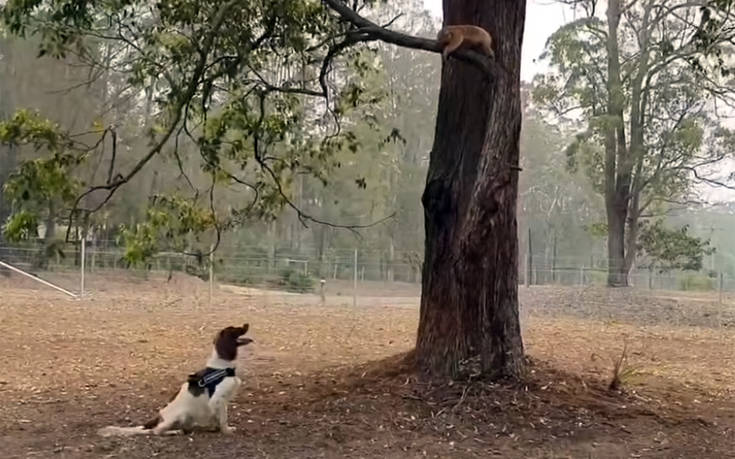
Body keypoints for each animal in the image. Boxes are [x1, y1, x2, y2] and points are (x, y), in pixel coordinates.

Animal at [98, 324, 253, 438]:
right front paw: (226, 431)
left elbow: (217, 417)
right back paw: (174, 431)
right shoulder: (217, 399)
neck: (221, 367)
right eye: (235, 329)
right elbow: (223, 419)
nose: (246, 324)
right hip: (178, 416)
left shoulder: (220, 402)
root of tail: (159, 416)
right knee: (155, 431)